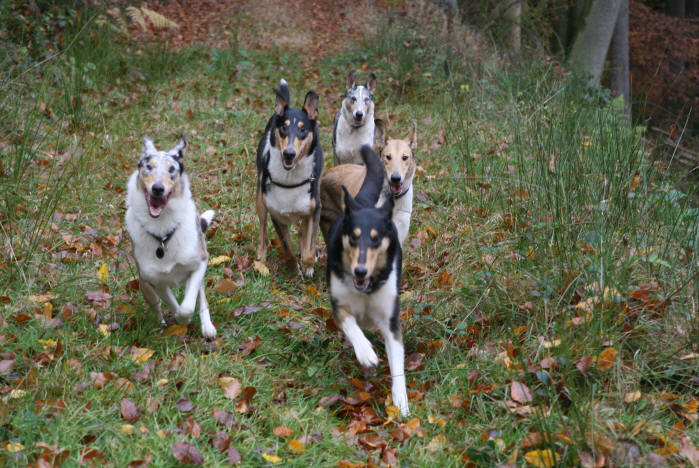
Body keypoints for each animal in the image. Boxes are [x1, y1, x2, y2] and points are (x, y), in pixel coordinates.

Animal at [125, 135, 217, 339]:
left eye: (172, 169)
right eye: (148, 166)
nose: (158, 188)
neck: (162, 232)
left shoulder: (199, 263)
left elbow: (188, 305)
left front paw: (187, 318)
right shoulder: (155, 280)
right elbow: (174, 305)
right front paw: (181, 320)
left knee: (202, 298)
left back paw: (207, 327)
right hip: (145, 287)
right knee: (157, 306)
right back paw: (160, 324)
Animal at [256, 79, 322, 278]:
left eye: (303, 130)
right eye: (284, 127)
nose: (289, 154)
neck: (290, 179)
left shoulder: (314, 209)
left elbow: (309, 248)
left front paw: (308, 265)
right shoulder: (276, 214)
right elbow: (287, 248)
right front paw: (294, 268)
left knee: (302, 232)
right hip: (260, 198)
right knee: (262, 228)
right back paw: (261, 256)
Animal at [326, 145, 409, 416]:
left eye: (375, 238)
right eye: (353, 237)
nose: (360, 271)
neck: (366, 289)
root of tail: (362, 203)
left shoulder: (391, 320)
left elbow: (398, 363)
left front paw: (401, 401)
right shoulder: (339, 305)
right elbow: (351, 325)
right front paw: (366, 353)